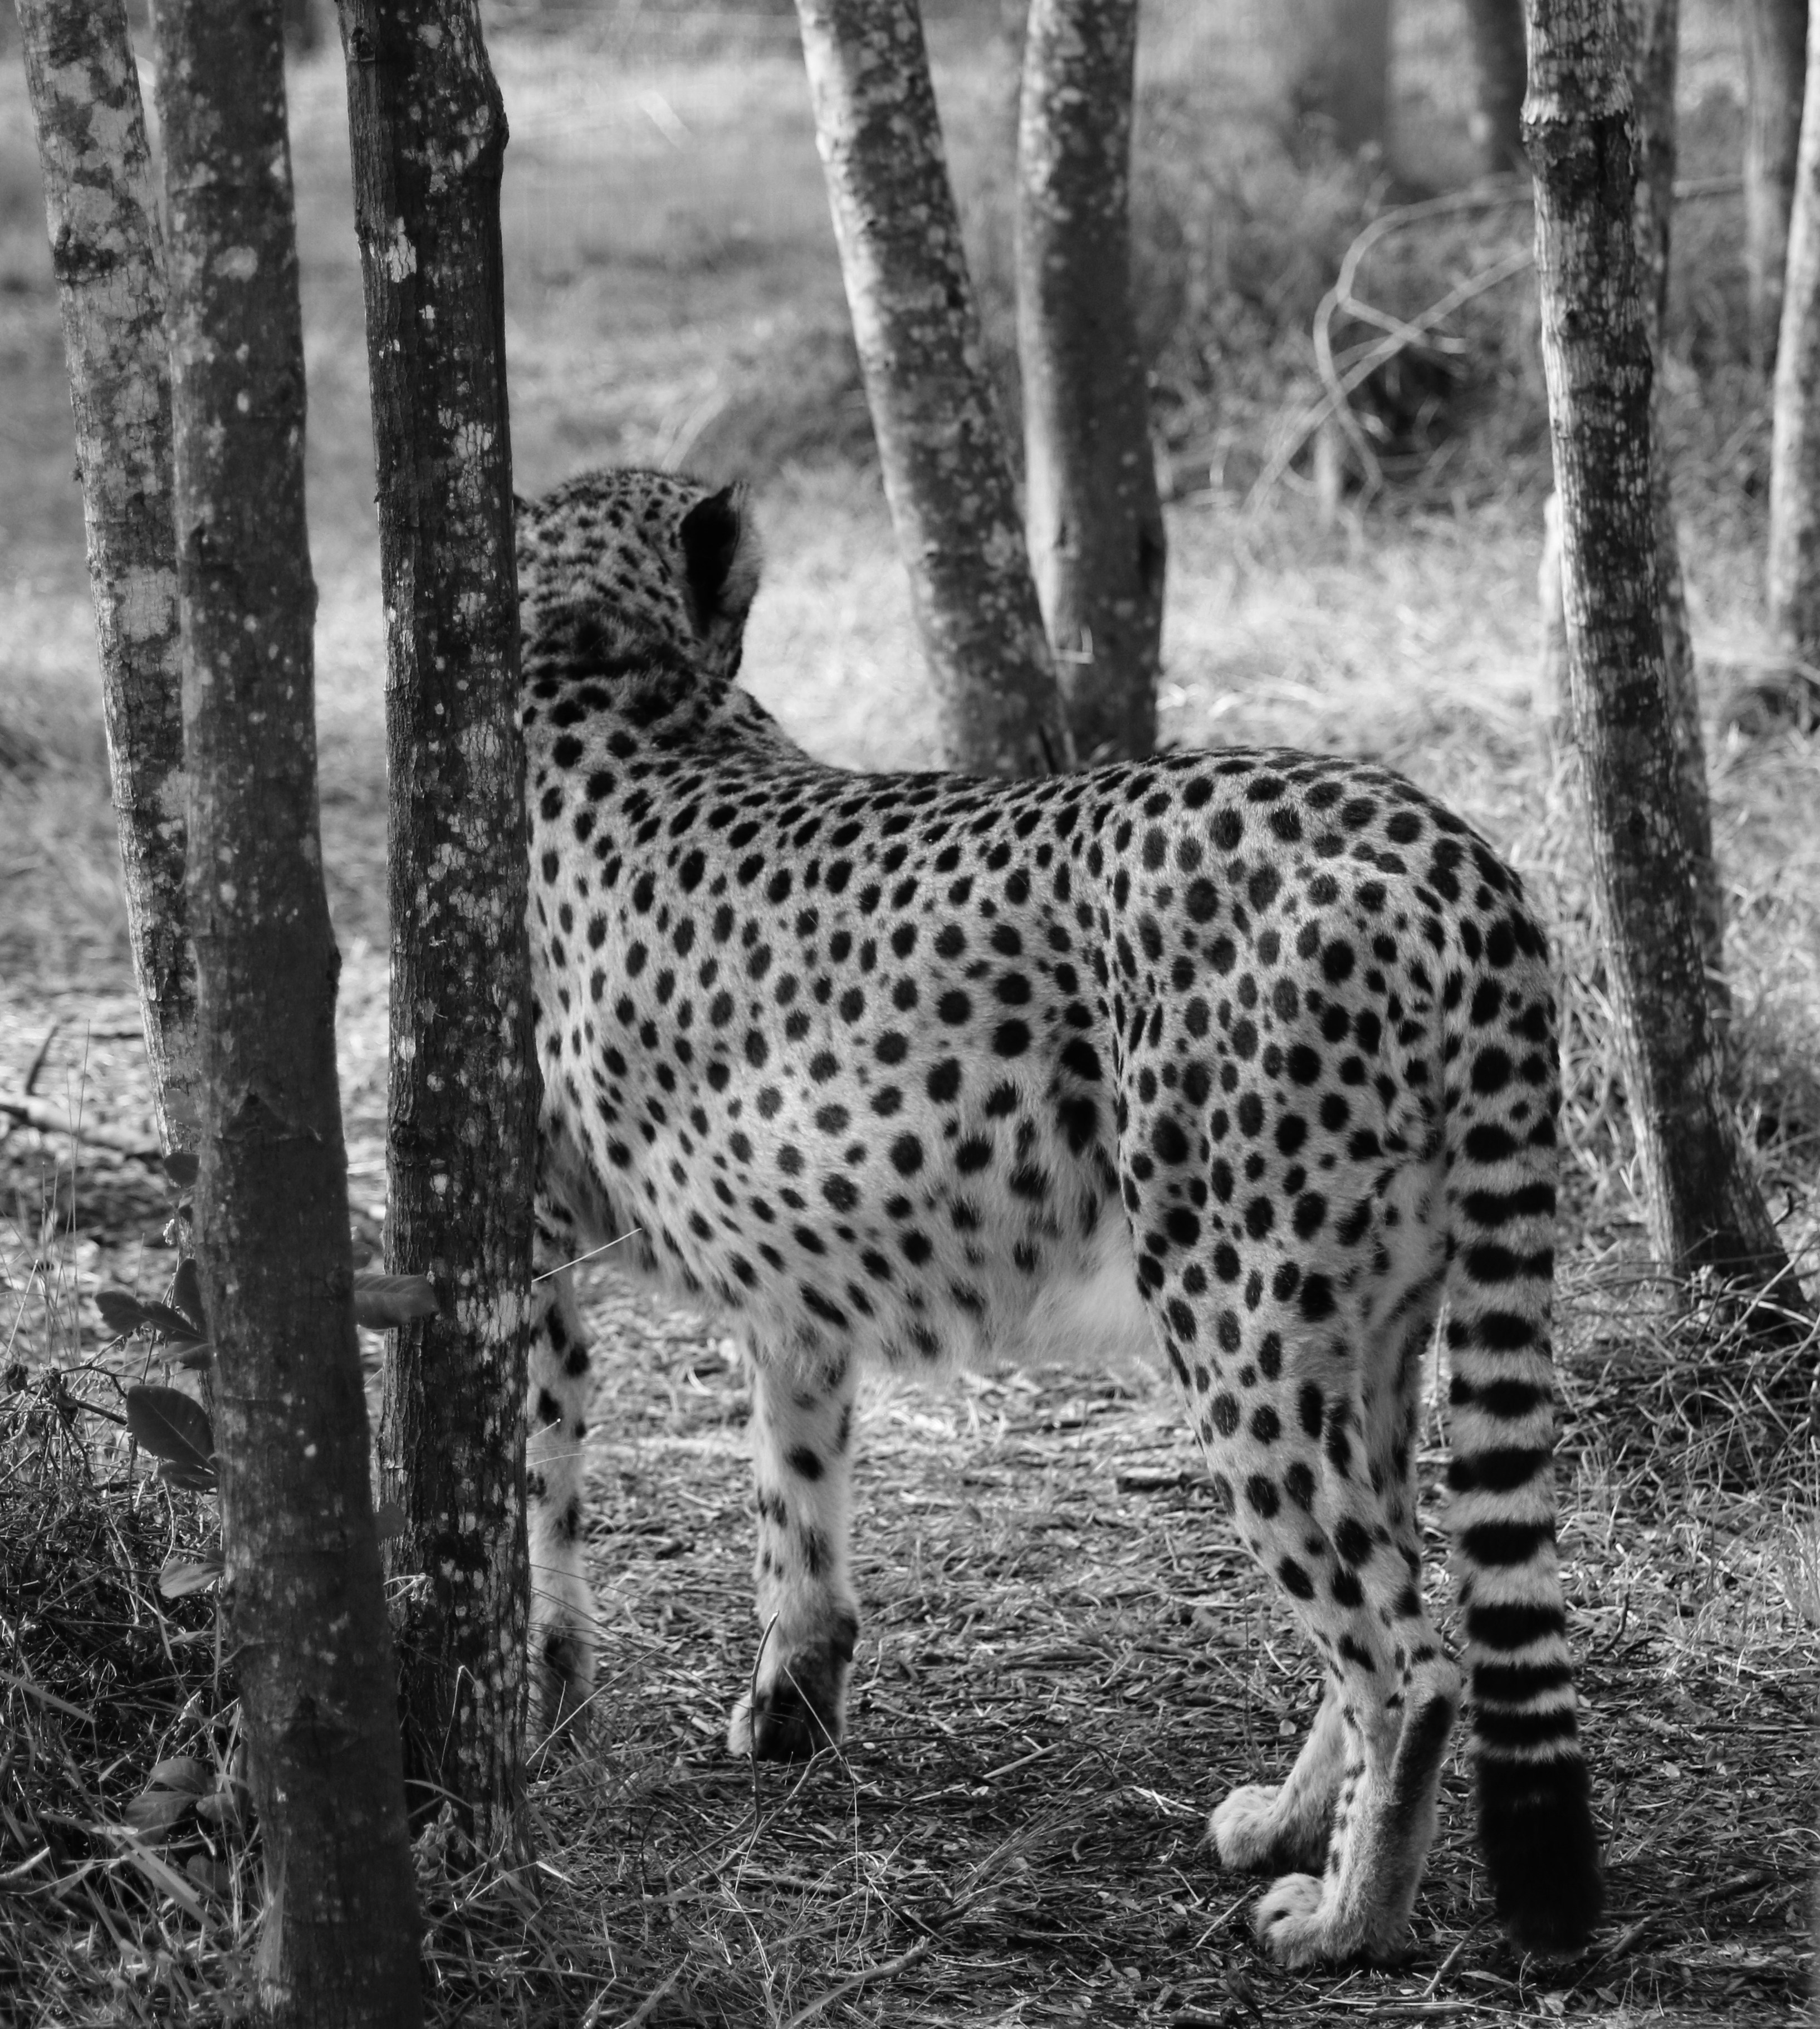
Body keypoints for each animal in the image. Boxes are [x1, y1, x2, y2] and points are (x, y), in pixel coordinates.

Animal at [512, 465, 1604, 1969]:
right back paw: (1285, 1825)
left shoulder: (527, 1234)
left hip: (1231, 1307)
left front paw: (548, 1695)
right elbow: (794, 1481)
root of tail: (1426, 831)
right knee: (1396, 1580)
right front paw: (790, 1701)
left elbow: (542, 1477)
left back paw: (1342, 1919)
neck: (605, 666)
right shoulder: (795, 1264)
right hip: (1377, 1316)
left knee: (1411, 1653)